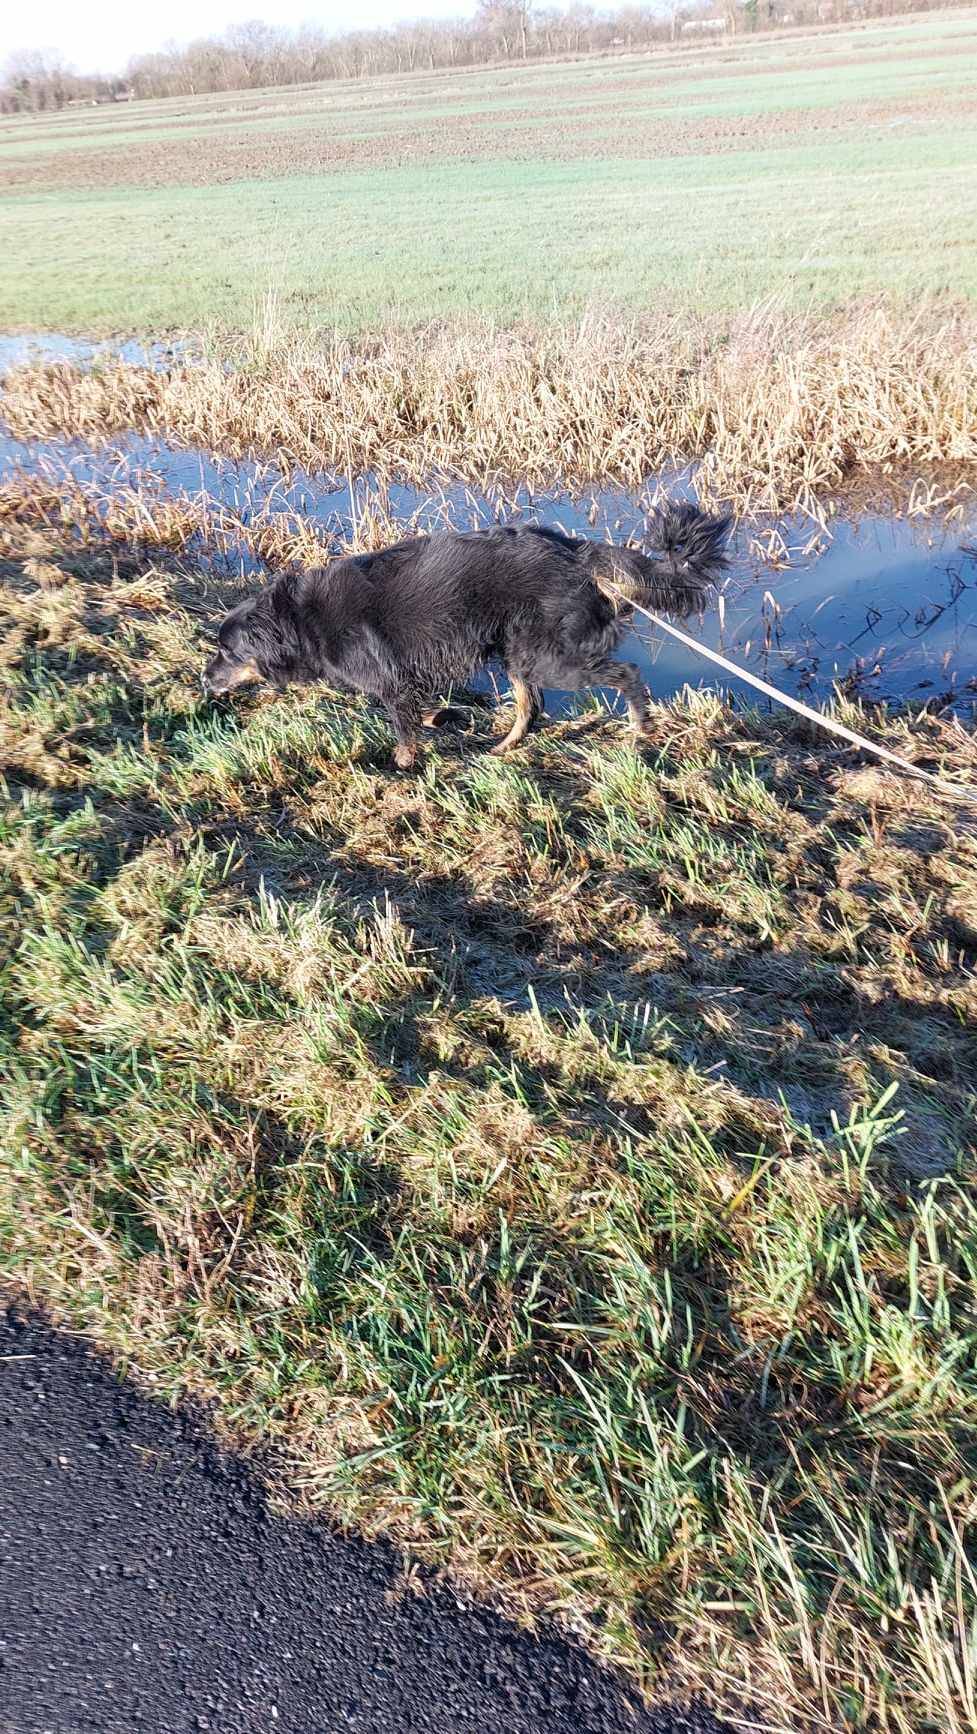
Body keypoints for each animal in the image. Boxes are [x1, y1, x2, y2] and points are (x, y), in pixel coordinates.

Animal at [202, 504, 729, 766]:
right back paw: (502, 748)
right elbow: (422, 710)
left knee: (627, 673)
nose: (206, 680)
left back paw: (640, 727)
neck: (298, 620)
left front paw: (403, 765)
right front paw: (442, 719)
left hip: (551, 658)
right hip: (519, 653)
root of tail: (577, 552)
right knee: (530, 707)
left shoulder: (392, 681)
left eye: (226, 651)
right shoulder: (408, 677)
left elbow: (403, 731)